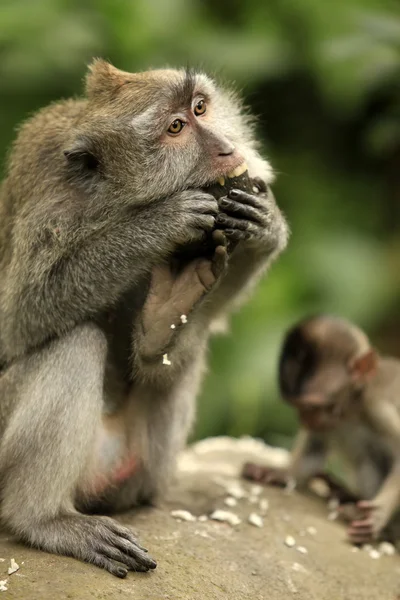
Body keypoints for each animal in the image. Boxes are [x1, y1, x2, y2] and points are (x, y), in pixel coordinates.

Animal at [0, 61, 290, 576]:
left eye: (200, 107)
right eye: (175, 128)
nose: (227, 147)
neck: (116, 198)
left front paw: (267, 224)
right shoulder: (48, 195)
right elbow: (18, 317)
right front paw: (159, 223)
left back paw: (164, 321)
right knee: (76, 342)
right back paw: (43, 519)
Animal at [242, 316, 400, 548]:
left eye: (313, 406)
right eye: (296, 406)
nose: (304, 420)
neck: (351, 411)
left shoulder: (378, 409)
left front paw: (376, 516)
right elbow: (313, 454)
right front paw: (278, 472)